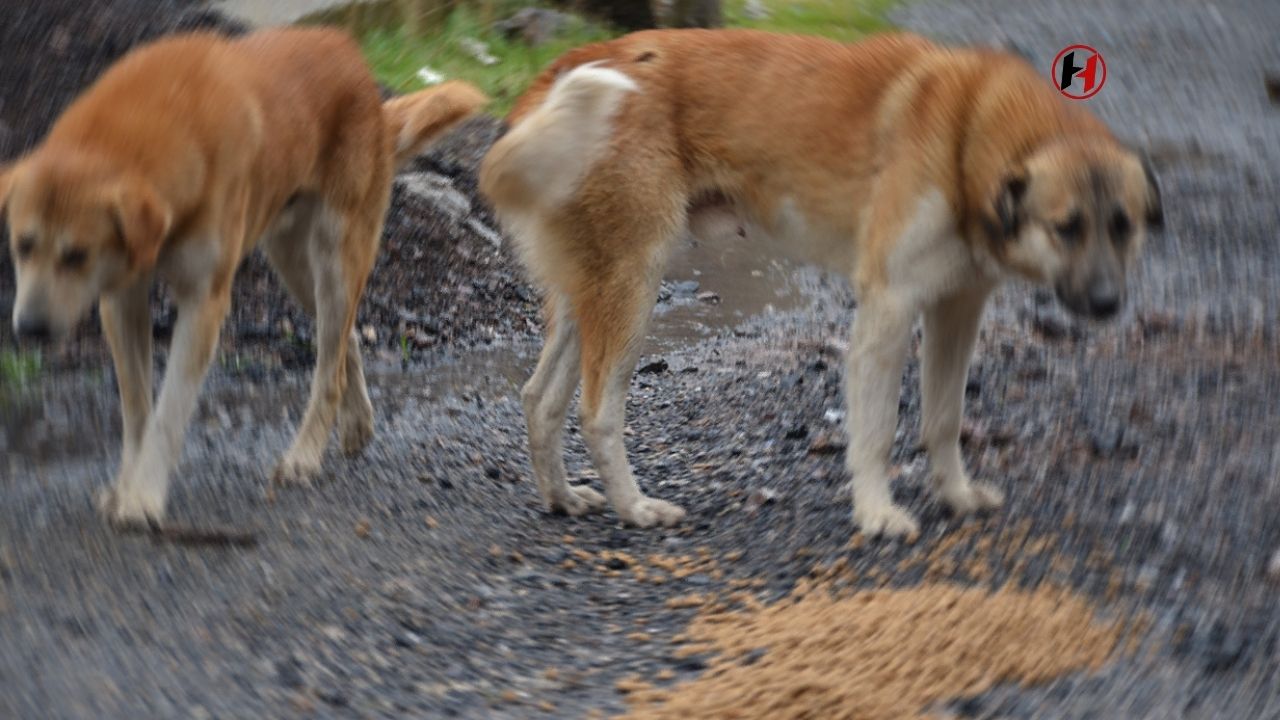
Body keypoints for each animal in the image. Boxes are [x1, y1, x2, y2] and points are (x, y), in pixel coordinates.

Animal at [0, 28, 486, 525]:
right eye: (22, 245)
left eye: (76, 255)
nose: (30, 328)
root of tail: (359, 69)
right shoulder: (121, 298)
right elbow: (137, 413)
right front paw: (125, 486)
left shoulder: (204, 303)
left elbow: (168, 415)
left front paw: (144, 496)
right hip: (293, 266)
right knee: (345, 339)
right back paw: (357, 424)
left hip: (334, 255)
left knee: (328, 369)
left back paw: (305, 455)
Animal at [481, 30, 1162, 535]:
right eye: (1066, 227)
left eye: (1123, 226)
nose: (1108, 305)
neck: (967, 133)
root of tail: (559, 69)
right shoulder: (889, 310)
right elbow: (877, 431)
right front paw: (878, 514)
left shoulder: (956, 311)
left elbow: (944, 419)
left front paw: (956, 495)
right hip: (632, 290)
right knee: (597, 411)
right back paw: (635, 507)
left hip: (588, 296)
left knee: (539, 399)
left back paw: (562, 497)